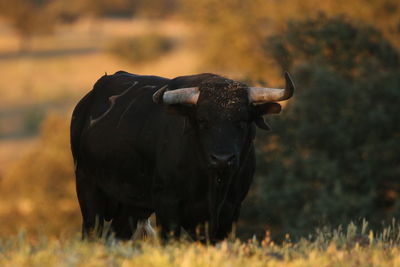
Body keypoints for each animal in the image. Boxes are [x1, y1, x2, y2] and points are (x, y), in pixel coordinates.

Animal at [70, 71, 294, 243]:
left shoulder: (230, 210)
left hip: (131, 206)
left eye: (242, 120)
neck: (213, 184)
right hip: (87, 188)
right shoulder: (167, 205)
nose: (222, 159)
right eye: (203, 120)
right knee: (91, 233)